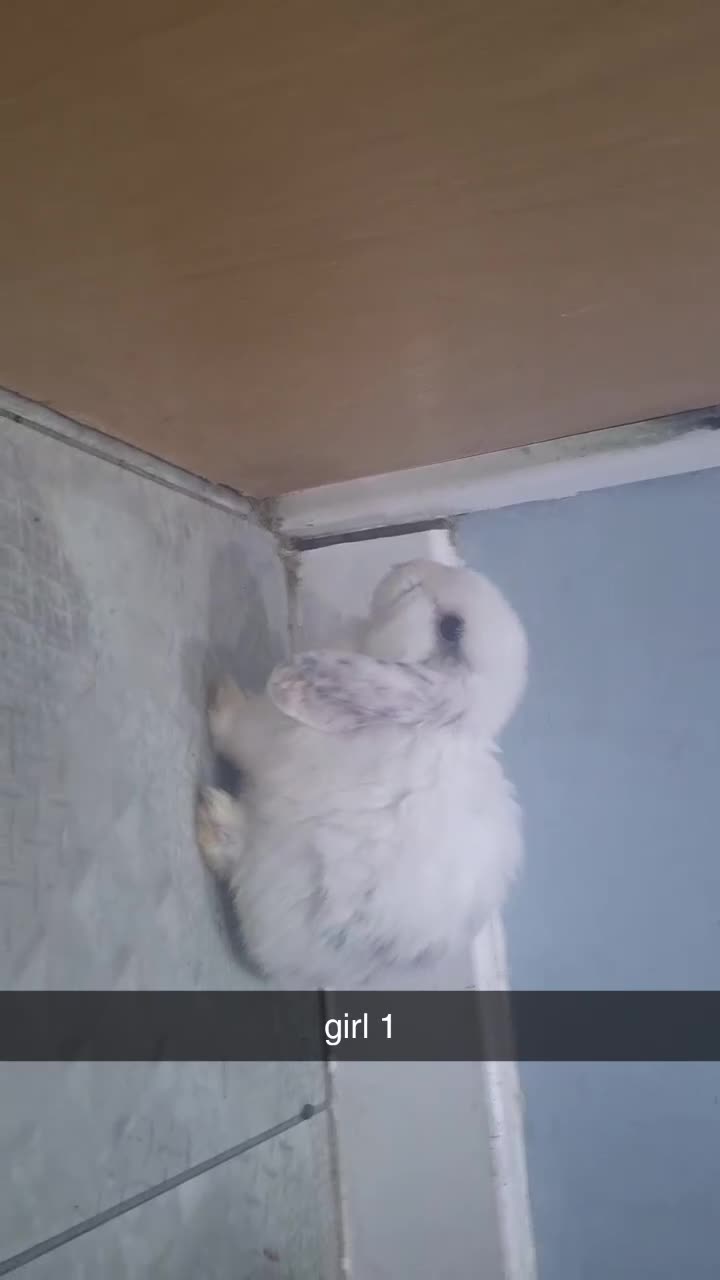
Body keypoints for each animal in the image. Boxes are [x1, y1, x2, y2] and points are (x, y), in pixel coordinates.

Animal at [196, 557, 528, 988]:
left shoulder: (267, 732)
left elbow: (235, 731)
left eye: (451, 627)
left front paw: (220, 696)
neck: (437, 723)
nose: (405, 565)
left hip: (280, 855)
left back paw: (213, 816)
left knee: (237, 857)